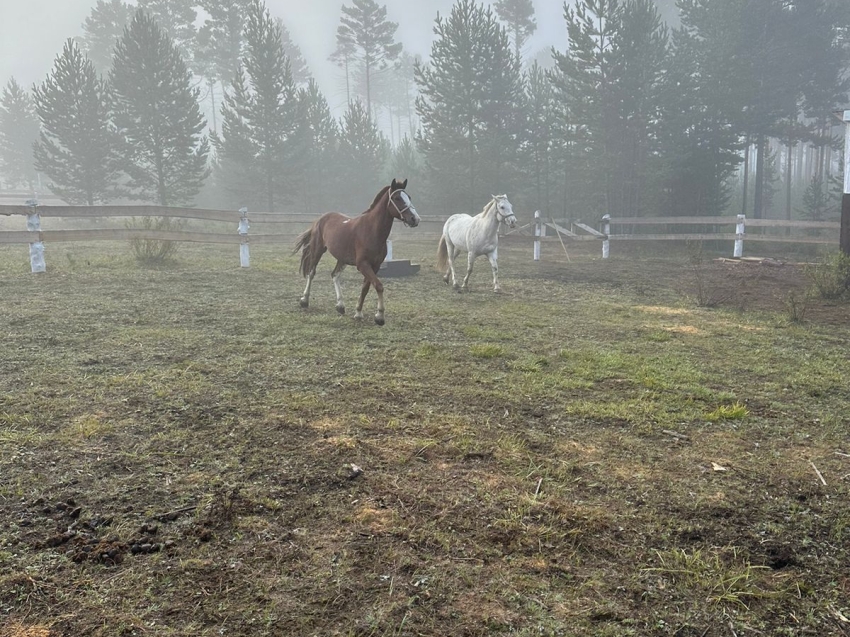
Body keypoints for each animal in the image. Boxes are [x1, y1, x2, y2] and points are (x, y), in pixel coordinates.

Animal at [294, 180, 420, 326]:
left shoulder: (375, 266)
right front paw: (379, 316)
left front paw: (358, 313)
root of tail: (320, 219)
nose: (415, 219)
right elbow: (378, 285)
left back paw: (340, 306)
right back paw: (304, 300)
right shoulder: (363, 265)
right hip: (318, 250)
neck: (371, 230)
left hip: (342, 258)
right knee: (311, 272)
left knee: (334, 275)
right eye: (397, 198)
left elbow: (365, 288)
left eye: (409, 197)